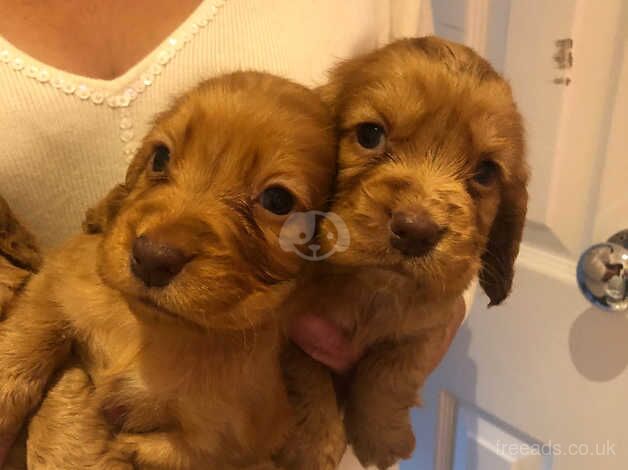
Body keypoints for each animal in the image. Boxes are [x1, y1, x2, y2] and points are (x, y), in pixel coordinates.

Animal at [0, 70, 338, 470]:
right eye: (160, 156)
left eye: (277, 200)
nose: (151, 258)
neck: (155, 326)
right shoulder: (59, 279)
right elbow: (25, 341)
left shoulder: (231, 437)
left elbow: (161, 450)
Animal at [282, 36, 528, 470]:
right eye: (370, 135)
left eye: (485, 173)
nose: (416, 232)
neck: (374, 289)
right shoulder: (288, 322)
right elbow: (304, 372)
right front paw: (317, 445)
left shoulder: (428, 325)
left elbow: (392, 372)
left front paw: (381, 437)